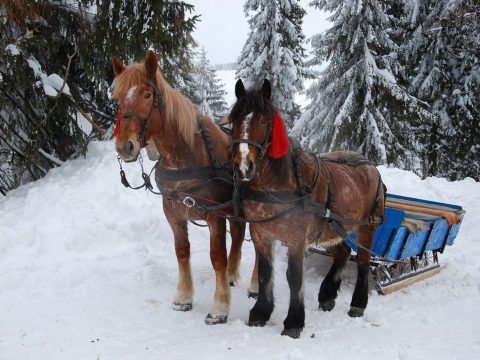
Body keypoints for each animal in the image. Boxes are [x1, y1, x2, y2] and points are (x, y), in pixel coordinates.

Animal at [112, 50, 256, 324]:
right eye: (118, 98)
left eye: (147, 95)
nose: (125, 146)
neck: (187, 155)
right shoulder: (173, 212)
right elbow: (182, 251)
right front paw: (183, 297)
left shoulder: (215, 216)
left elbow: (217, 258)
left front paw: (220, 307)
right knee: (239, 236)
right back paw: (233, 274)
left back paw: (254, 285)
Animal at [230, 78, 386, 338]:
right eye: (233, 119)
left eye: (264, 120)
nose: (244, 167)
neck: (280, 184)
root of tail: (370, 166)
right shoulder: (261, 234)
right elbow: (265, 273)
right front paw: (261, 313)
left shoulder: (296, 238)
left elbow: (294, 277)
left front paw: (294, 322)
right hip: (331, 228)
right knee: (343, 252)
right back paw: (327, 295)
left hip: (367, 227)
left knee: (363, 261)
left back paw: (357, 304)